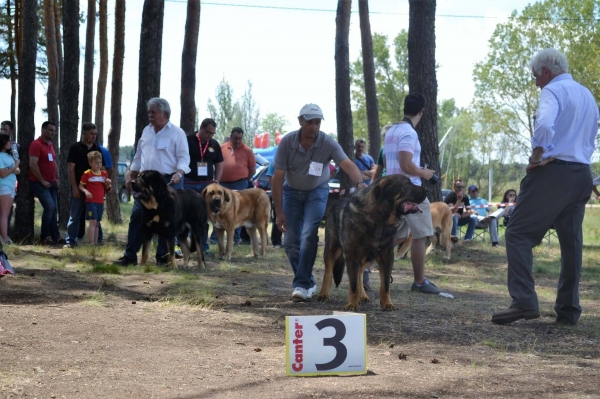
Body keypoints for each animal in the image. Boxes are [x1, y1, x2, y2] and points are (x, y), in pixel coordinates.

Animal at [316, 176, 428, 312]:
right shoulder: (352, 256)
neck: (379, 219)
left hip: (366, 258)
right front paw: (352, 304)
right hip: (331, 248)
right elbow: (353, 285)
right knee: (328, 272)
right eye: (407, 184)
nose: (427, 190)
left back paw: (363, 296)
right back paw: (324, 294)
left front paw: (387, 304)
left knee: (360, 274)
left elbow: (384, 285)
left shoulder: (387, 257)